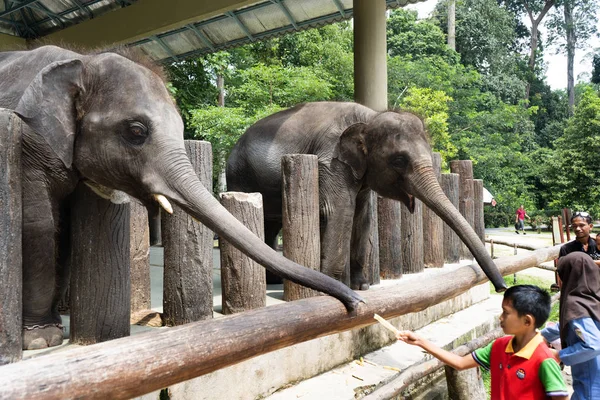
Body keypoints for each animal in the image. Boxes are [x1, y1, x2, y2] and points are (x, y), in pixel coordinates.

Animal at [0, 47, 364, 350]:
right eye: (136, 131)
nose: (358, 304)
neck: (82, 60)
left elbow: (65, 233)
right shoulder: (29, 142)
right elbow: (38, 225)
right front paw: (42, 340)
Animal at [225, 101, 506, 292]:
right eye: (399, 160)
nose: (503, 288)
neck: (369, 117)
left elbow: (362, 216)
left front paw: (361, 287)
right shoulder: (331, 160)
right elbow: (339, 210)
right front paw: (333, 287)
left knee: (270, 224)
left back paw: (274, 280)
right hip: (240, 176)